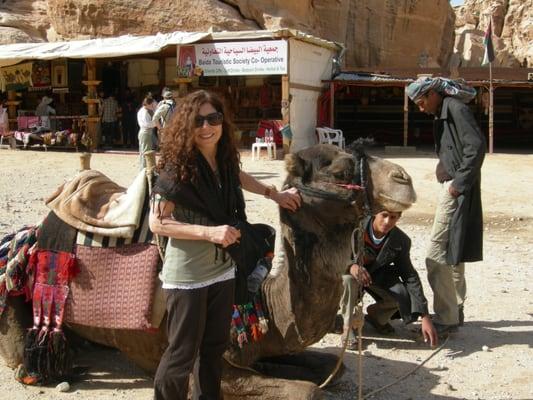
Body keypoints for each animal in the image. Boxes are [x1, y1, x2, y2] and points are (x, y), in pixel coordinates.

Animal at [0, 143, 416, 396]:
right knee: (22, 360)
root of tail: (25, 237)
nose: (404, 178)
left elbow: (333, 369)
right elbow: (308, 391)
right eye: (341, 170)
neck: (264, 301)